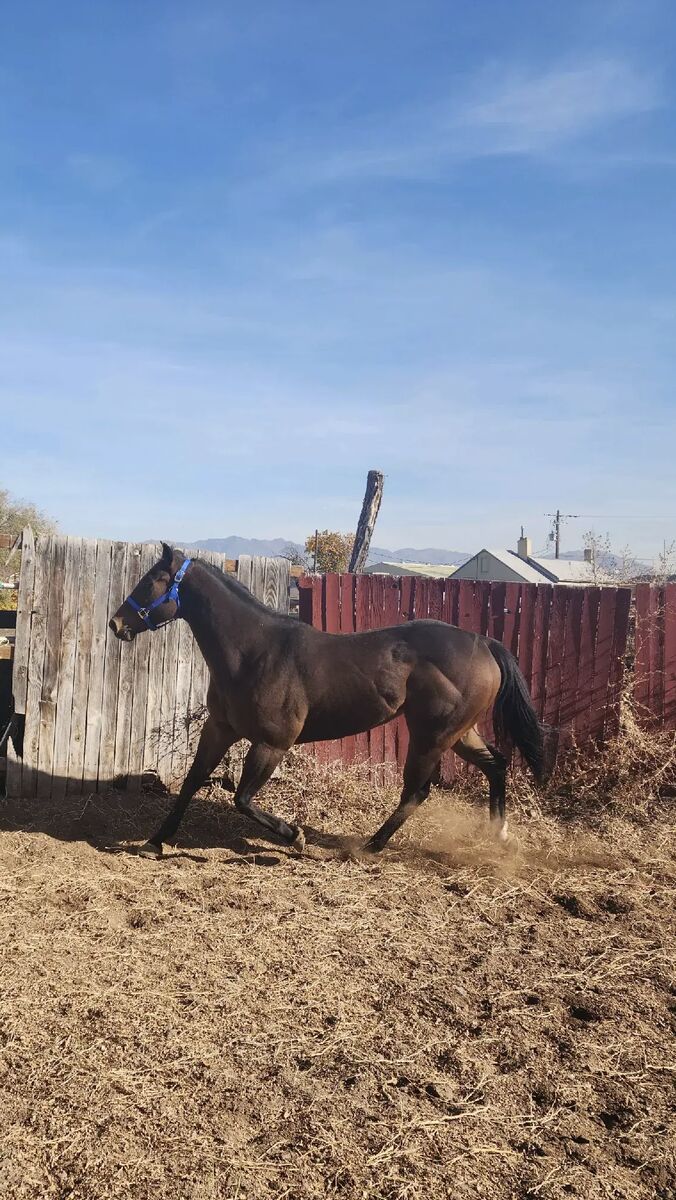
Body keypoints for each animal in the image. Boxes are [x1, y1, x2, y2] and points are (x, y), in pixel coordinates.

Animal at [109, 545, 547, 859]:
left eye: (153, 580)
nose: (116, 623)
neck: (254, 651)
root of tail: (485, 643)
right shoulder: (220, 728)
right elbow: (192, 781)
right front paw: (155, 841)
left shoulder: (272, 744)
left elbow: (243, 800)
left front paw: (296, 836)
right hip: (458, 733)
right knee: (496, 765)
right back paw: (499, 835)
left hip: (431, 736)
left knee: (417, 791)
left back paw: (369, 846)